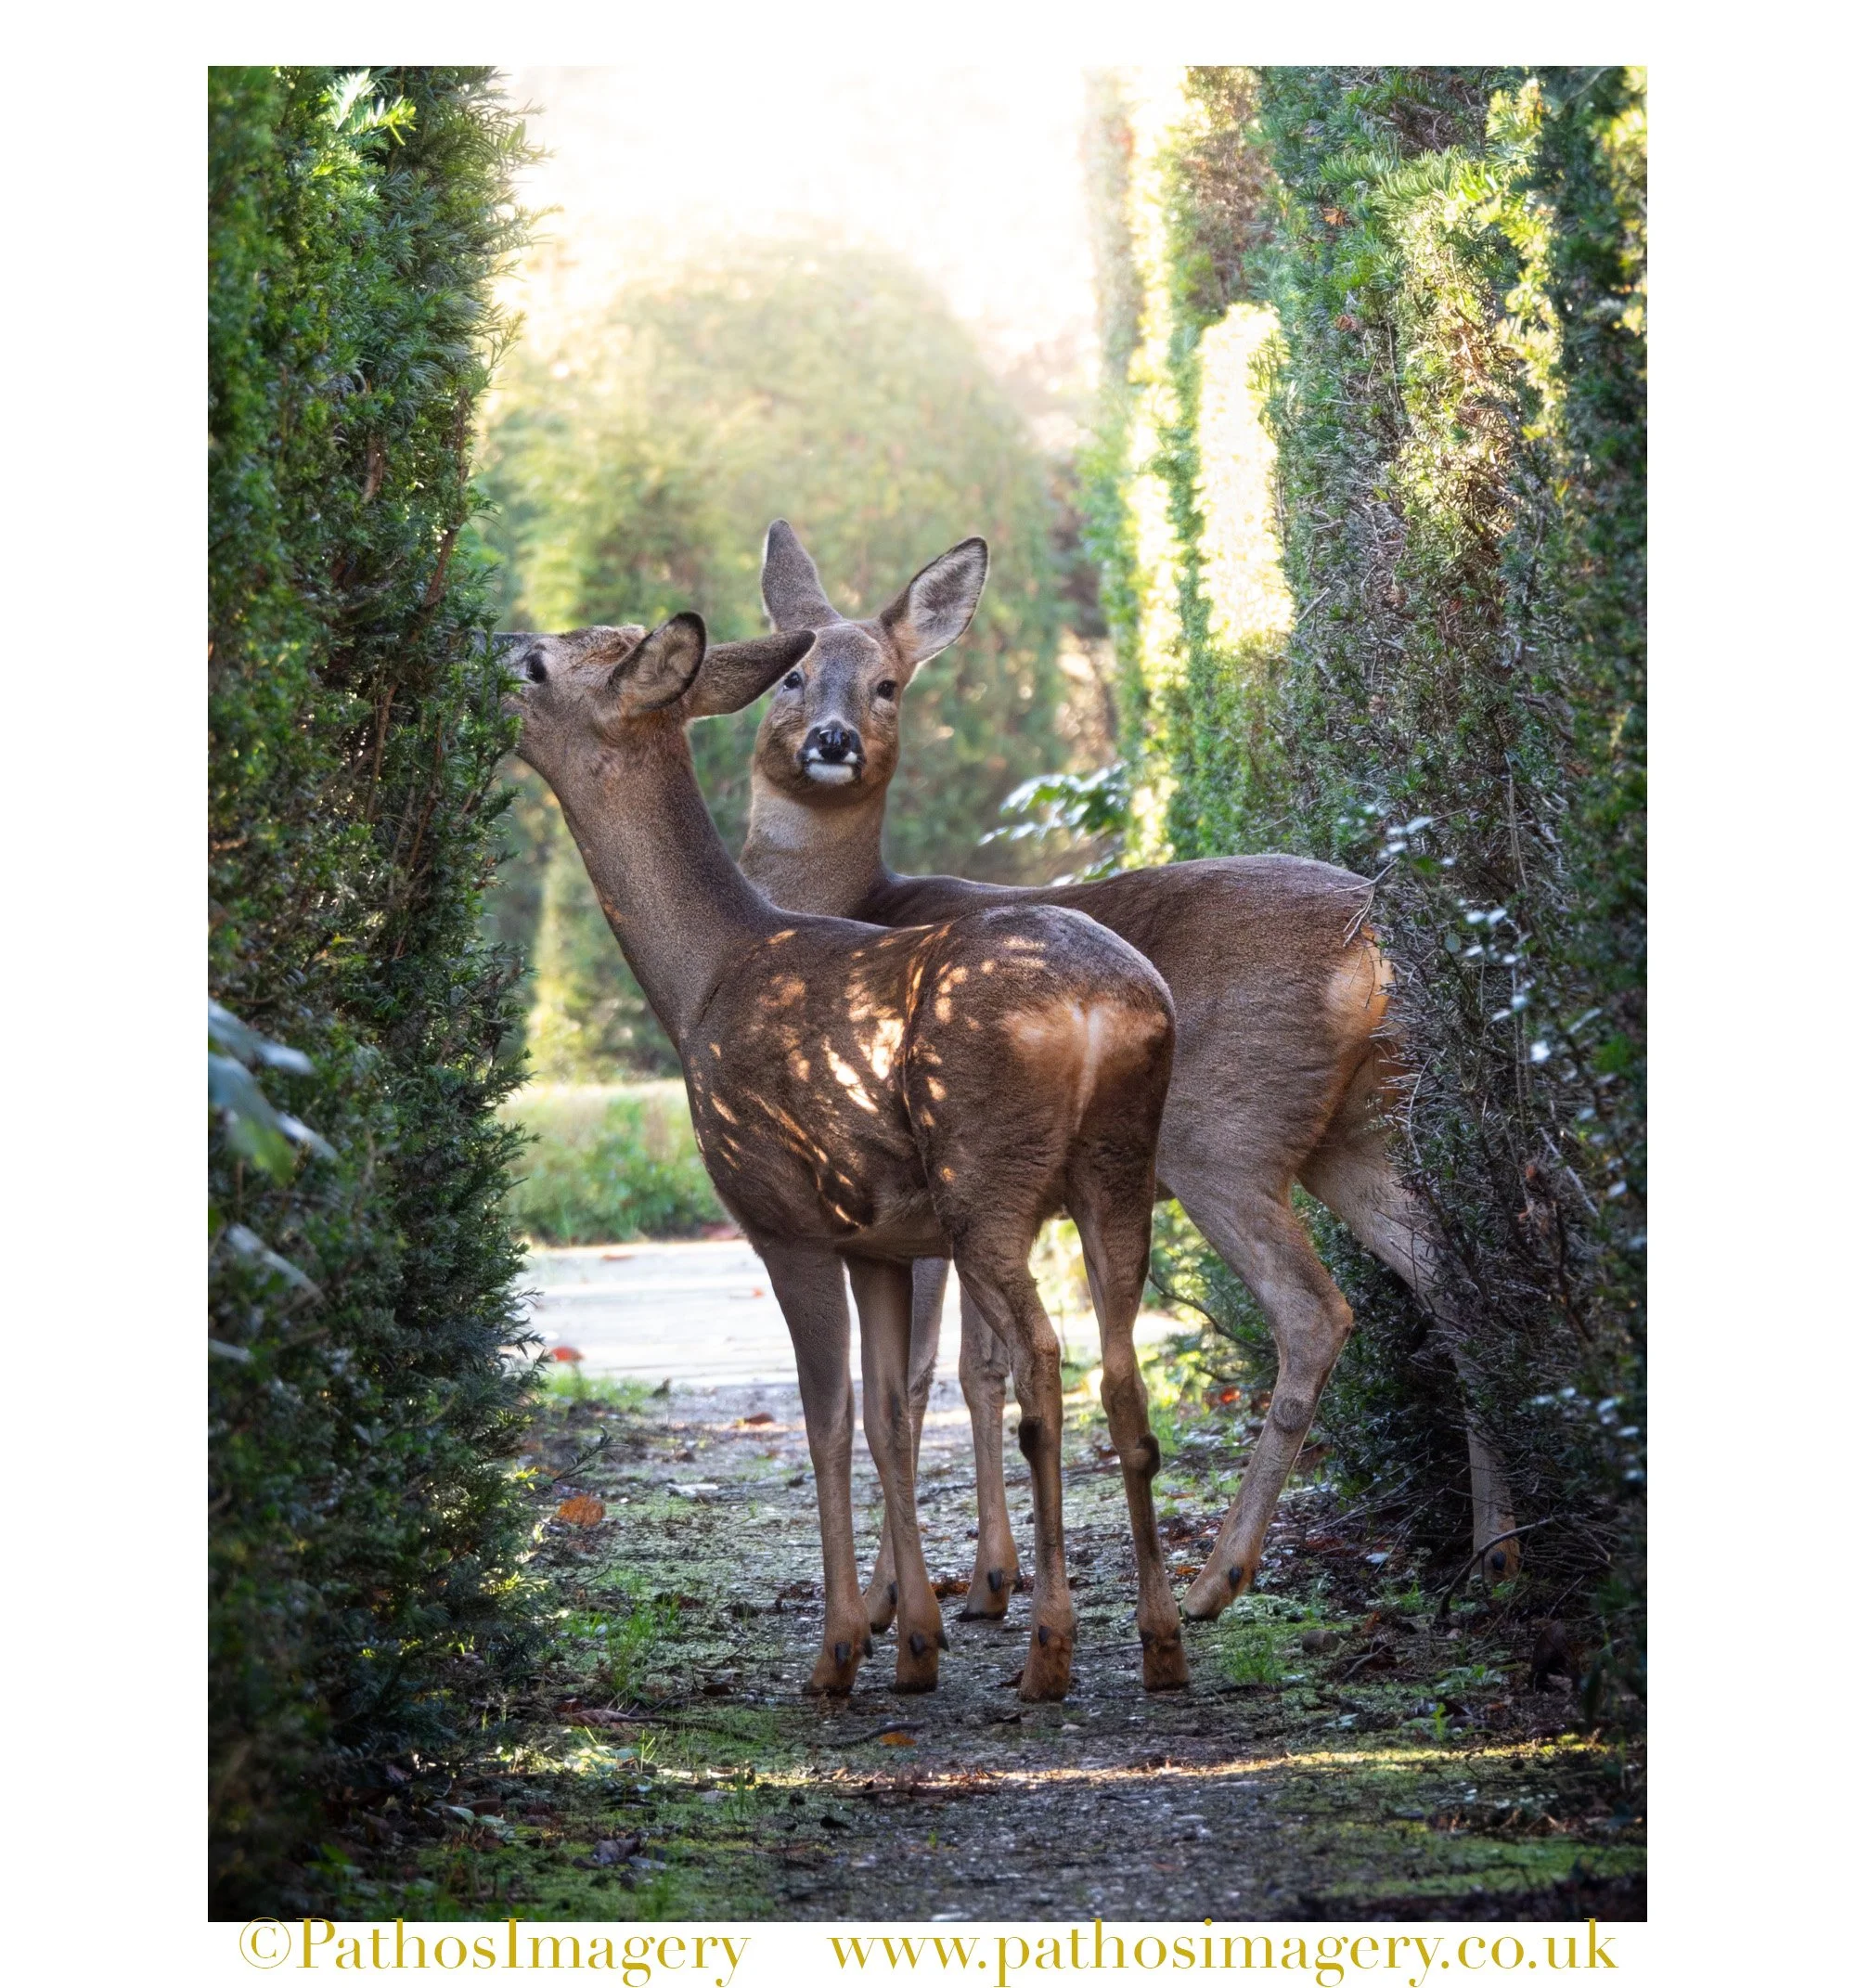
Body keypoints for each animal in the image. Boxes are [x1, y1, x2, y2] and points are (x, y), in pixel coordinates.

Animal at [504, 611, 1186, 1703]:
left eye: (536, 665)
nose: (483, 650)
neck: (704, 981)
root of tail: (1097, 1008)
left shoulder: (781, 1216)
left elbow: (824, 1420)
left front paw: (837, 1651)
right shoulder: (876, 1241)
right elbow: (888, 1418)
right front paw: (912, 1642)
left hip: (985, 1177)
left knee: (1044, 1361)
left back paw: (1048, 1649)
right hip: (1117, 1169)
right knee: (1120, 1370)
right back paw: (1161, 1642)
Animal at [725, 520, 1521, 1633]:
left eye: (887, 684)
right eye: (792, 675)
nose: (832, 740)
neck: (847, 909)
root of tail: (1380, 950)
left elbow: (920, 1376)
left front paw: (899, 1597)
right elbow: (980, 1367)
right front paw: (989, 1580)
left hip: (1223, 1129)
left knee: (1314, 1314)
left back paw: (1215, 1579)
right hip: (1354, 1127)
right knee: (1448, 1275)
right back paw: (1494, 1556)